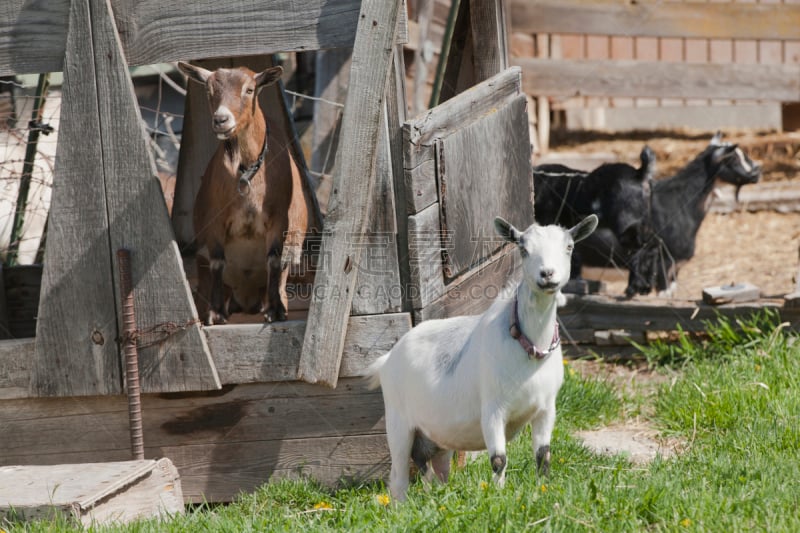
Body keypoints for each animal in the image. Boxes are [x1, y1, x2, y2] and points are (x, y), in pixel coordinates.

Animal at [180, 60, 318, 322]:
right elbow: (218, 262)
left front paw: (276, 310)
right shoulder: (214, 222)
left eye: (250, 89)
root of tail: (246, 299)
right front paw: (215, 314)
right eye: (209, 90)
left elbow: (274, 259)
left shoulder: (278, 217)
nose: (221, 120)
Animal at [366, 212, 596, 498]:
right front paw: (498, 495)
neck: (529, 347)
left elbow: (543, 455)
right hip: (398, 421)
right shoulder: (493, 409)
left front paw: (542, 490)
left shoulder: (546, 408)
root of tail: (386, 361)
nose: (547, 274)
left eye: (569, 247)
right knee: (398, 477)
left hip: (436, 435)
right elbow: (499, 458)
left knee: (431, 466)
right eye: (523, 249)